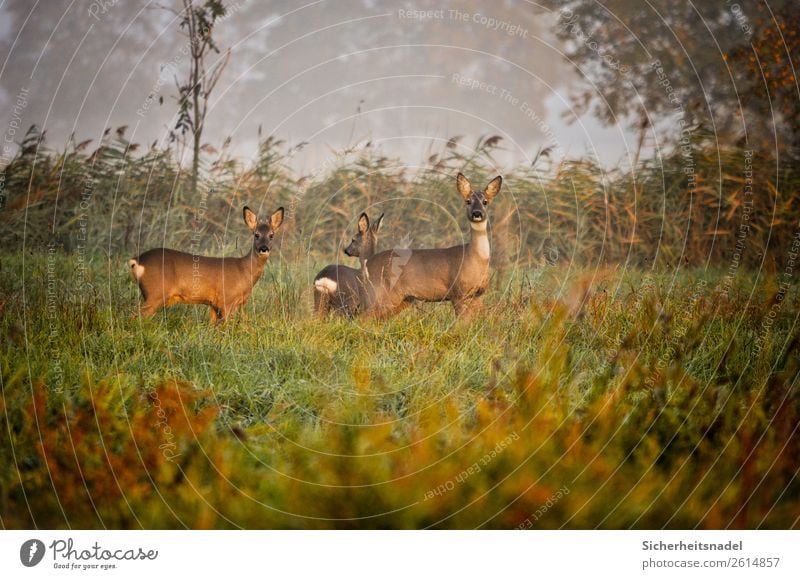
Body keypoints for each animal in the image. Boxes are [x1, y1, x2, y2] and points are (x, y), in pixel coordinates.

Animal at [129, 206, 284, 324]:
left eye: (271, 235)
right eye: (256, 234)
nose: (264, 248)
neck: (244, 271)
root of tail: (137, 260)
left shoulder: (214, 305)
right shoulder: (226, 299)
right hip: (155, 293)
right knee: (135, 316)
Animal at [362, 174, 500, 320]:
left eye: (485, 201)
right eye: (468, 201)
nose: (477, 213)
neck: (475, 257)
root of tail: (367, 263)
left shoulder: (479, 294)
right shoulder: (457, 292)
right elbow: (462, 322)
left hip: (402, 299)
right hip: (382, 292)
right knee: (363, 317)